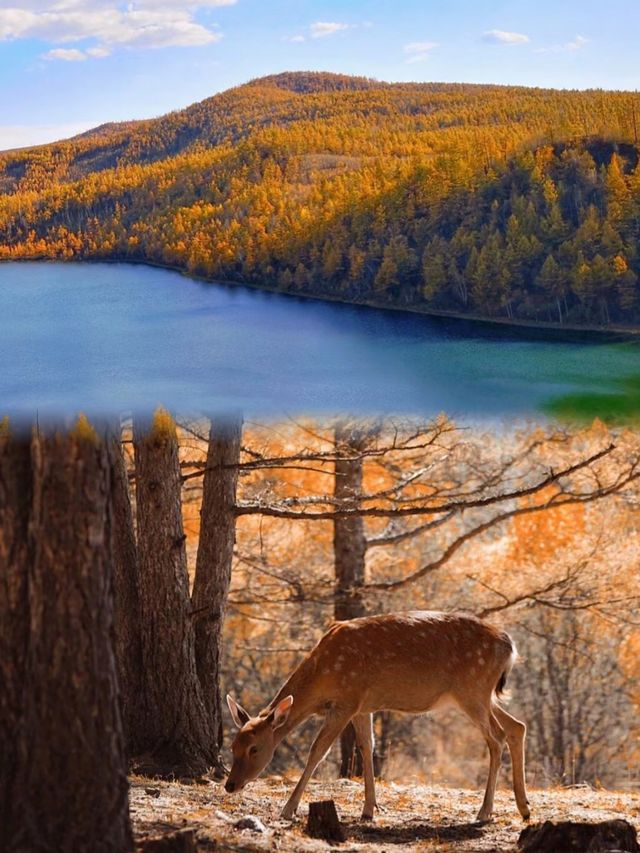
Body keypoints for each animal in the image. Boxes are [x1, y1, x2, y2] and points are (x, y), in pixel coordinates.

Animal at [225, 608, 528, 824]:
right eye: (232, 746)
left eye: (255, 748)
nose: (230, 785)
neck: (324, 672)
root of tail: (510, 647)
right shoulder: (363, 706)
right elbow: (366, 747)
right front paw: (369, 809)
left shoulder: (346, 700)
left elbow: (317, 751)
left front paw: (288, 808)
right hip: (481, 695)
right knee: (517, 726)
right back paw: (523, 808)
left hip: (472, 690)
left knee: (497, 737)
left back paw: (485, 812)